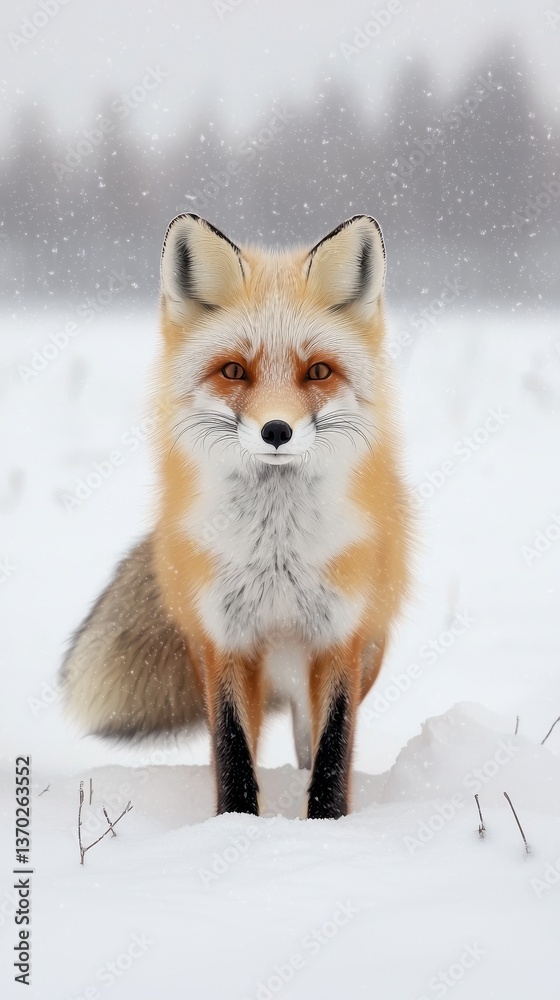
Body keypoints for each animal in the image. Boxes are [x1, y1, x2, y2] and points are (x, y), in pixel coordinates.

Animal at [61, 213, 412, 820]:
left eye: (318, 371)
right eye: (233, 370)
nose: (277, 430)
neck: (276, 551)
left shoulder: (338, 639)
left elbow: (334, 747)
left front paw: (327, 825)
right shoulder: (224, 639)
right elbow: (230, 747)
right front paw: (236, 826)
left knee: (307, 738)